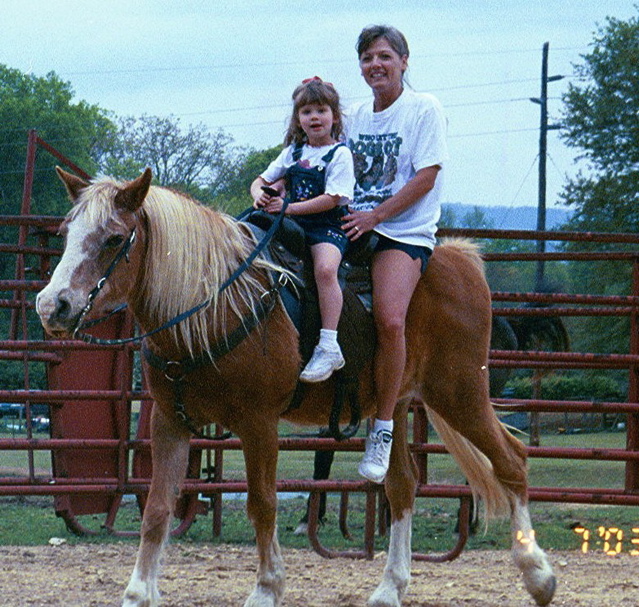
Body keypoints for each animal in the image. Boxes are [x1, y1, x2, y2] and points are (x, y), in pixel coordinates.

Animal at [36, 169, 556, 607]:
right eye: (65, 234)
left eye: (114, 239)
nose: (51, 305)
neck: (213, 303)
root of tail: (461, 259)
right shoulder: (168, 422)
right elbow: (158, 510)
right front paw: (138, 593)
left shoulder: (259, 423)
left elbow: (262, 504)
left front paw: (267, 589)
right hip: (395, 404)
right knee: (402, 485)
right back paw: (390, 587)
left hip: (460, 392)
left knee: (512, 462)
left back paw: (538, 575)